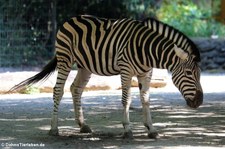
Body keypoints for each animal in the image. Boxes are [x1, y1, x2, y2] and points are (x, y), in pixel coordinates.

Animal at [9, 15, 203, 139]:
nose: (199, 101)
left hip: (85, 66)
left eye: (199, 74)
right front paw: (127, 129)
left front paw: (151, 129)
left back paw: (82, 125)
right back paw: (54, 128)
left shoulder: (146, 73)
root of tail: (70, 19)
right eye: (188, 73)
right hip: (65, 59)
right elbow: (127, 99)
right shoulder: (126, 71)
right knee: (58, 90)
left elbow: (146, 99)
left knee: (75, 89)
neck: (146, 50)